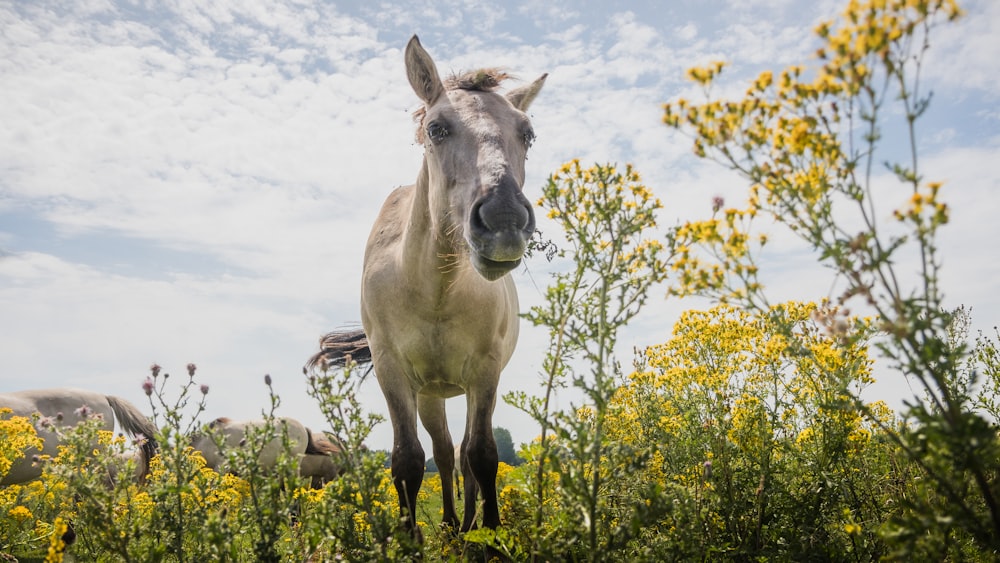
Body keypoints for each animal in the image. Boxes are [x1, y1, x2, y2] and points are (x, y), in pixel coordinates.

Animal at [308, 35, 552, 536]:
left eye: (527, 134)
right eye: (437, 129)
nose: (504, 219)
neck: (434, 291)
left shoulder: (485, 371)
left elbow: (482, 454)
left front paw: (491, 535)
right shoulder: (393, 372)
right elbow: (408, 460)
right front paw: (409, 536)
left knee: (462, 455)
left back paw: (468, 524)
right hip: (429, 396)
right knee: (441, 452)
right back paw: (451, 523)